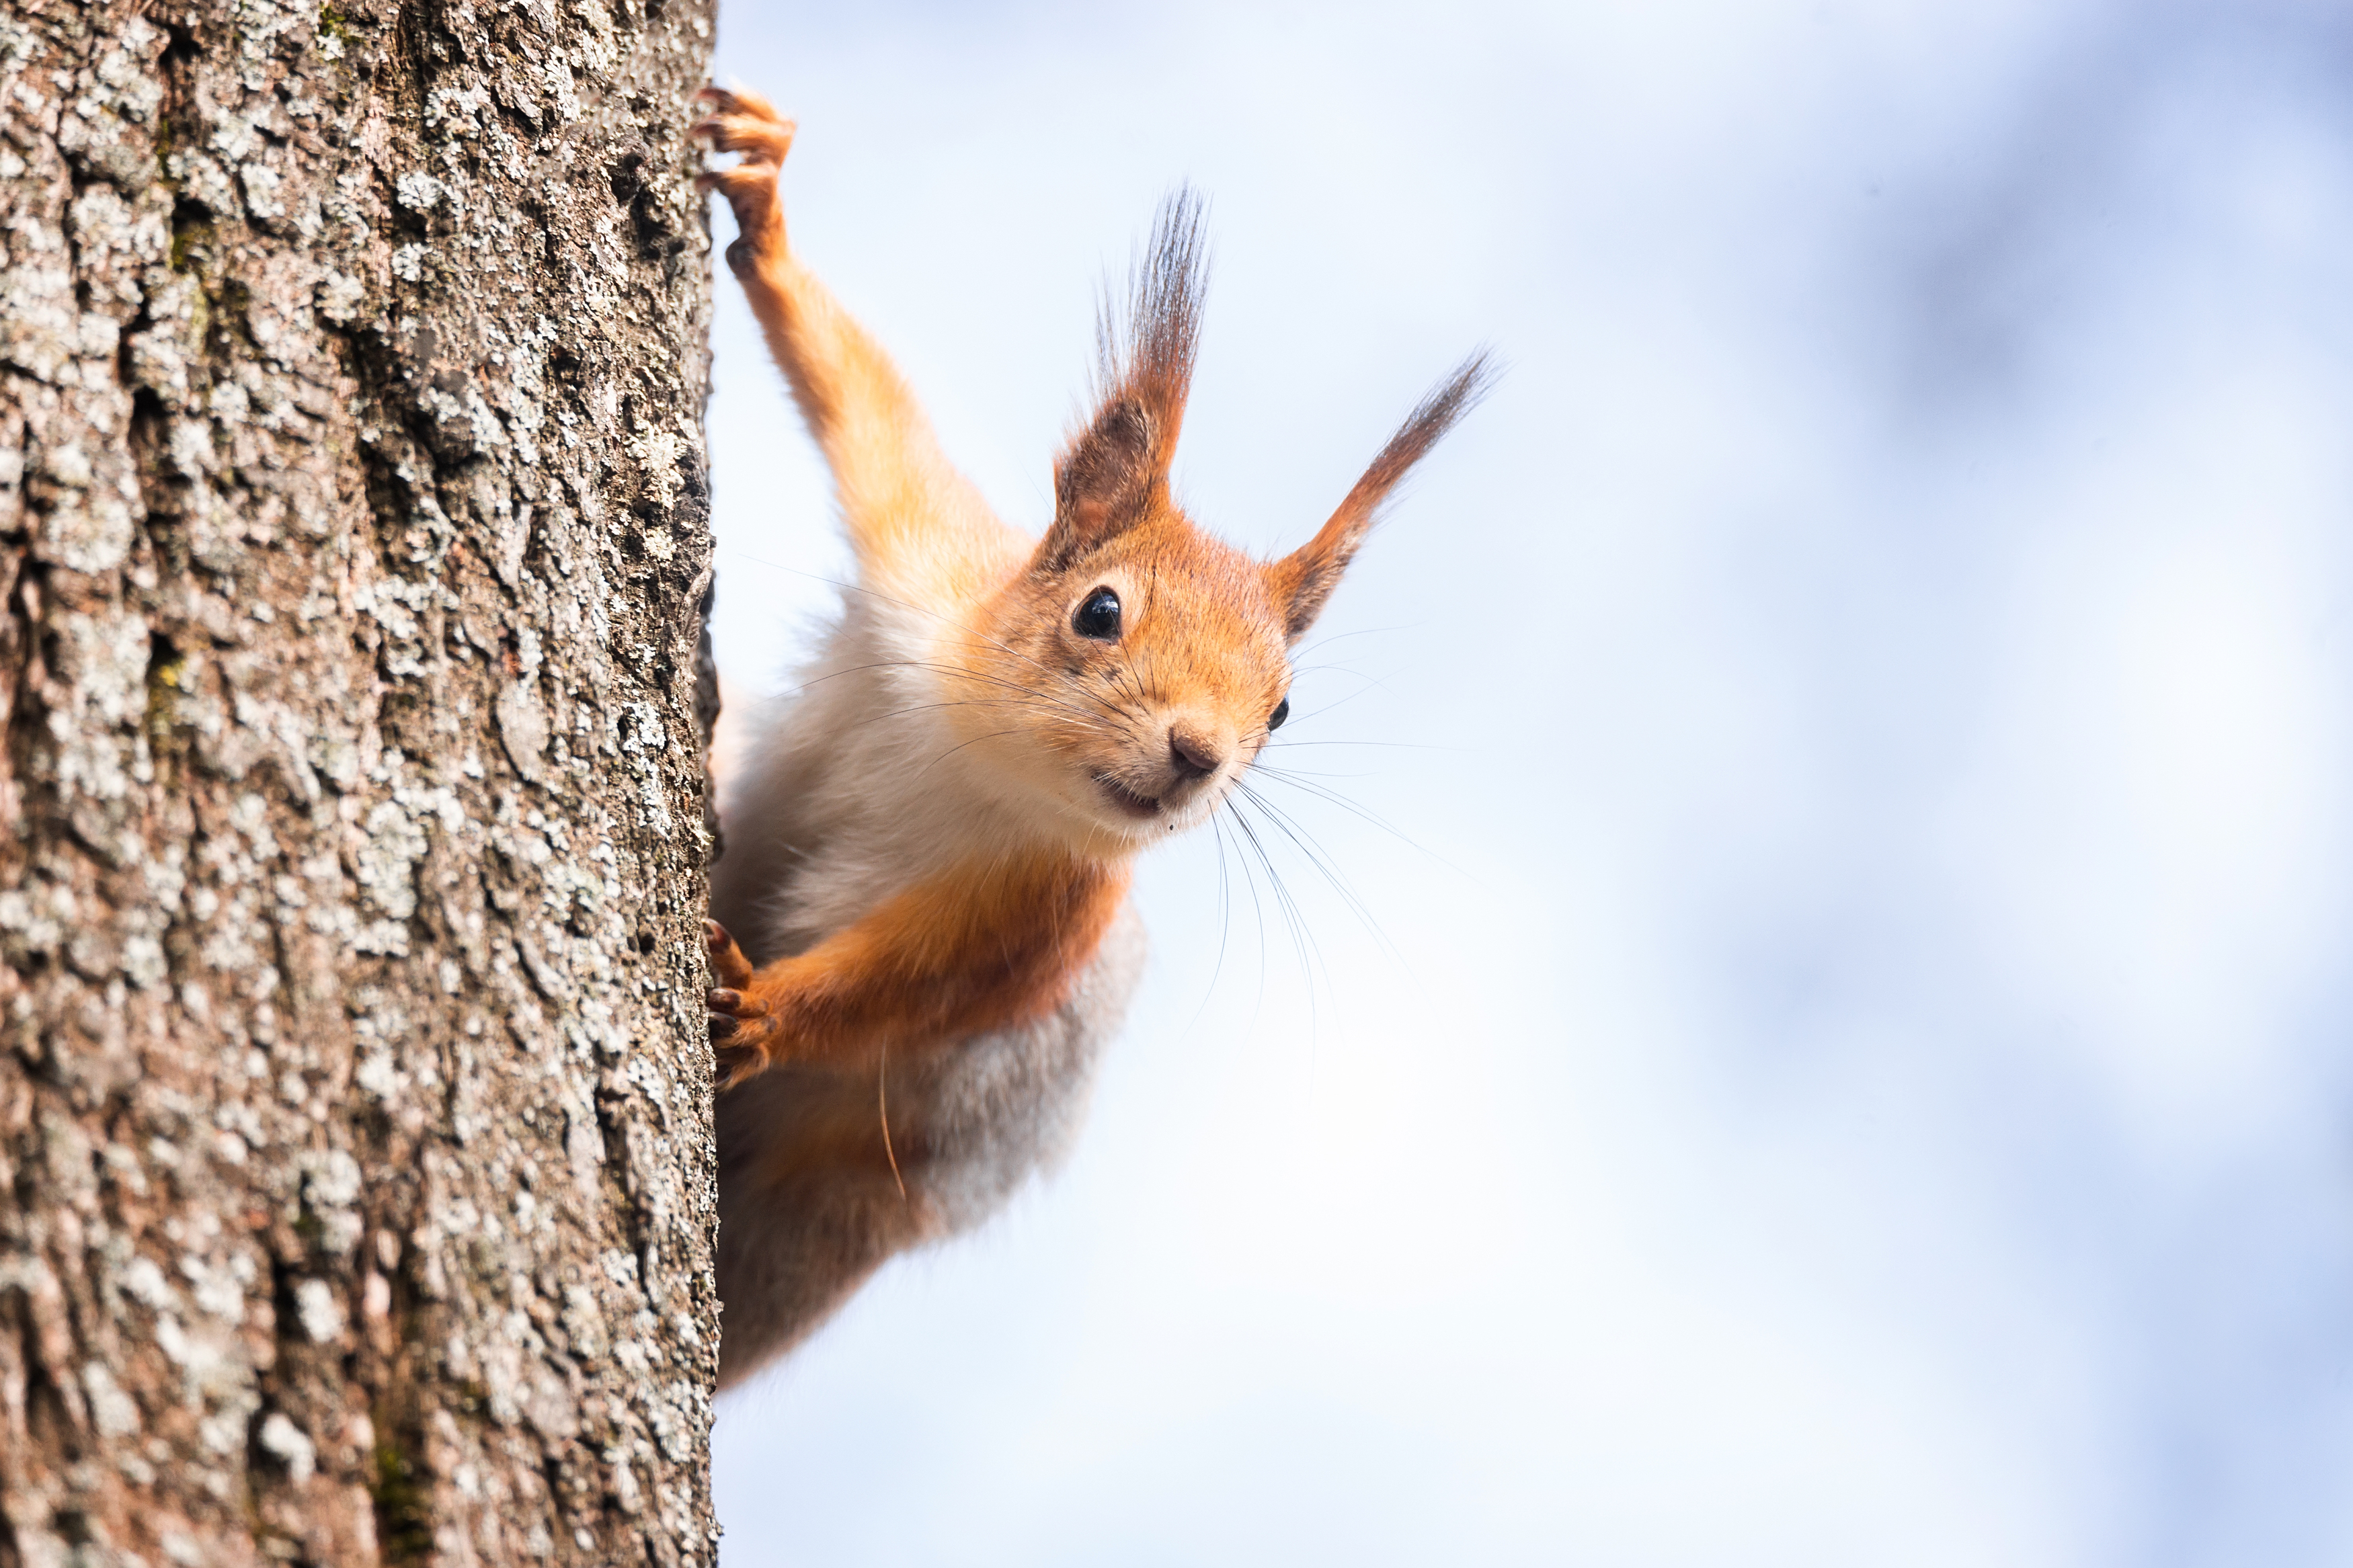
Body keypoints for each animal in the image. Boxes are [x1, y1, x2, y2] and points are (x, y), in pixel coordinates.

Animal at [687, 85, 1487, 1382]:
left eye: (1281, 711)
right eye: (1099, 610)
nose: (1197, 756)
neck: (984, 764)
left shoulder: (1047, 911)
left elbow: (920, 987)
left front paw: (770, 1009)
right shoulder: (922, 554)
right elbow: (859, 394)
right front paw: (766, 207)